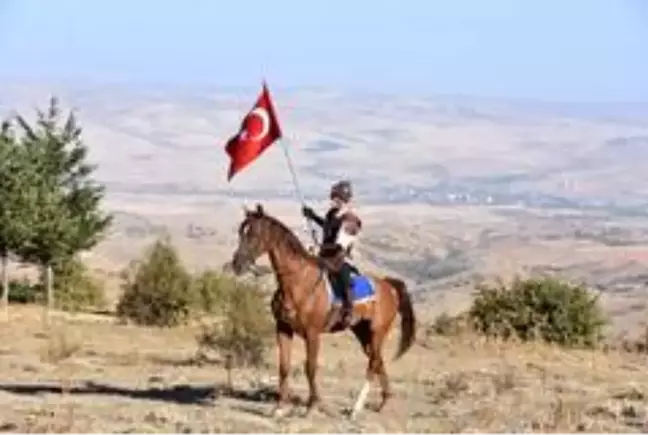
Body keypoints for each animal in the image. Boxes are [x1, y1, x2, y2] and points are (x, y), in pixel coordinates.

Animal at [230, 203, 418, 420]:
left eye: (254, 234)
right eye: (240, 232)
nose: (237, 264)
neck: (298, 282)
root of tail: (389, 286)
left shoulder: (312, 333)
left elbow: (310, 368)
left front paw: (312, 406)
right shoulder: (283, 328)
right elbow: (284, 366)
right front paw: (279, 407)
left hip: (377, 332)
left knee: (373, 363)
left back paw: (356, 408)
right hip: (362, 332)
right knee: (377, 360)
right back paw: (384, 402)